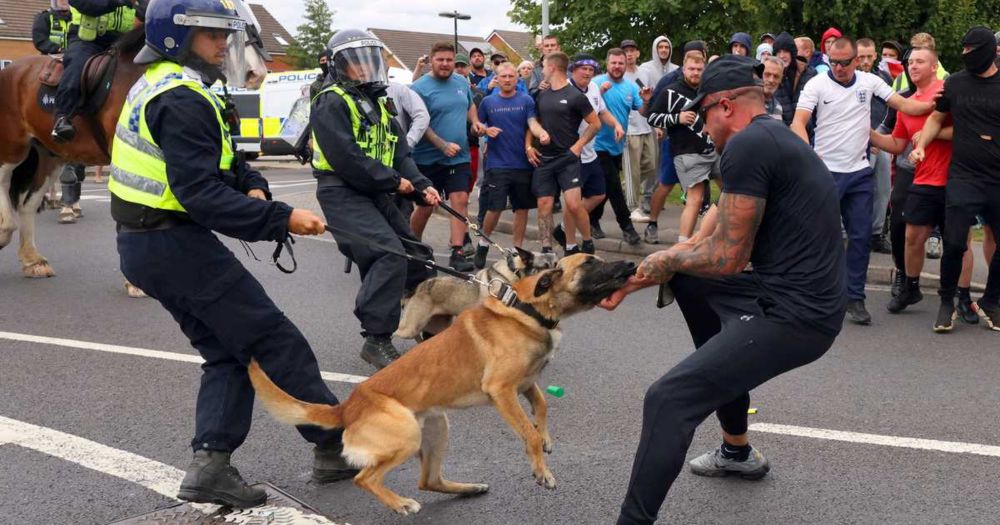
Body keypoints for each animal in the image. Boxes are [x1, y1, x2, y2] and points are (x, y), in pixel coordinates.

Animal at [394, 247, 560, 340]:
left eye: (557, 265)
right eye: (544, 267)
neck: (516, 273)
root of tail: (418, 288)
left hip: (436, 326)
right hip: (410, 328)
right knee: (396, 334)